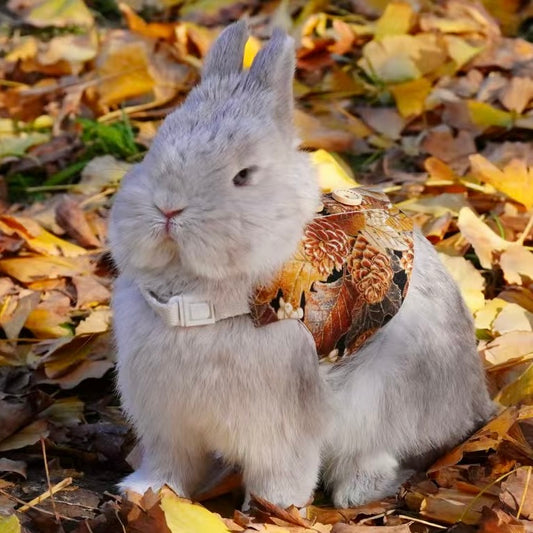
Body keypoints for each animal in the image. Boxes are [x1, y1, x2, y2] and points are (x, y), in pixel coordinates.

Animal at [108, 20, 494, 510]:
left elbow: (282, 474)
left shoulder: (282, 427)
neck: (195, 301)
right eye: (153, 152)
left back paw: (356, 491)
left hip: (390, 399)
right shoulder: (169, 426)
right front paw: (143, 492)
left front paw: (271, 511)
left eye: (244, 176)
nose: (168, 208)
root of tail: (477, 400)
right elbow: (169, 466)